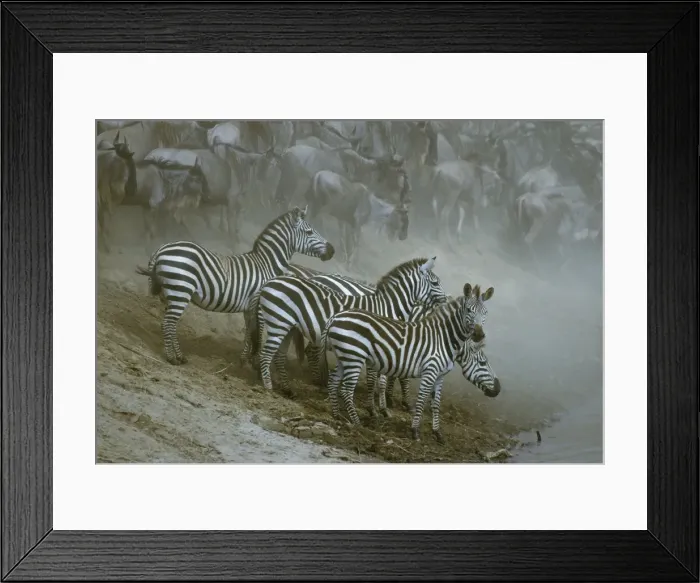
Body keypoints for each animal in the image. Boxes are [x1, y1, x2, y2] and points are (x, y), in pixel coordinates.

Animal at [135, 205, 335, 365]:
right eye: (309, 232)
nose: (332, 251)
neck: (266, 263)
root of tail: (162, 248)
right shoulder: (259, 304)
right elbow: (258, 333)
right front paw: (254, 361)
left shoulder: (249, 306)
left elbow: (249, 331)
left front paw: (244, 359)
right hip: (180, 291)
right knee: (168, 324)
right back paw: (172, 358)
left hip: (172, 292)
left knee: (170, 324)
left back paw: (179, 356)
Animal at [248, 257, 447, 396]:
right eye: (435, 283)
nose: (446, 300)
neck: (386, 306)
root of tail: (269, 282)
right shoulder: (378, 345)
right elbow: (376, 378)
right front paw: (375, 409)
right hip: (278, 323)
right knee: (267, 354)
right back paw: (268, 386)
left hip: (288, 326)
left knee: (279, 356)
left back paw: (287, 389)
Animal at [320, 283, 494, 444]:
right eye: (469, 310)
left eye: (485, 313)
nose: (479, 335)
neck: (443, 339)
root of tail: (335, 317)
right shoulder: (430, 371)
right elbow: (421, 400)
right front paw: (415, 431)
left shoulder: (439, 375)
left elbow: (436, 404)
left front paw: (437, 433)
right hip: (354, 356)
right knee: (346, 389)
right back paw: (357, 423)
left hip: (345, 356)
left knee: (333, 381)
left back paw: (336, 414)